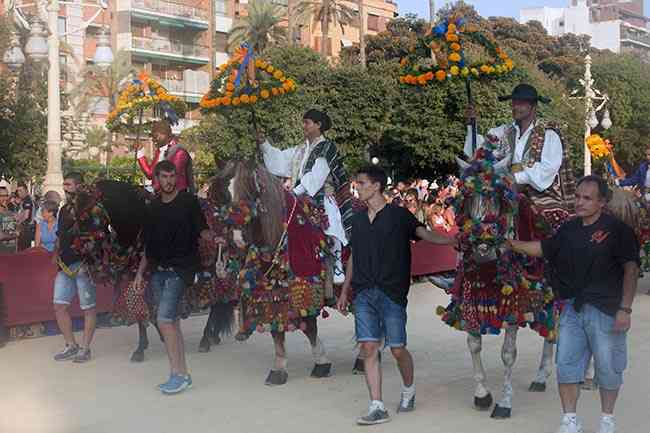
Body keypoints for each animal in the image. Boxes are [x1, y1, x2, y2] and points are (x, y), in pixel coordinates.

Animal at [229, 159, 332, 384]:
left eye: (248, 192)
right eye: (228, 192)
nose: (239, 239)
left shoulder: (306, 287)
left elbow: (310, 327)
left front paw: (321, 363)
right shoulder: (270, 291)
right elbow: (276, 330)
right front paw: (278, 368)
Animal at [440, 147, 556, 416]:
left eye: (497, 199)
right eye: (467, 199)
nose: (483, 244)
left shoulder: (514, 305)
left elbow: (508, 354)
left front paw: (505, 401)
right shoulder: (470, 300)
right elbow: (473, 344)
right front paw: (482, 394)